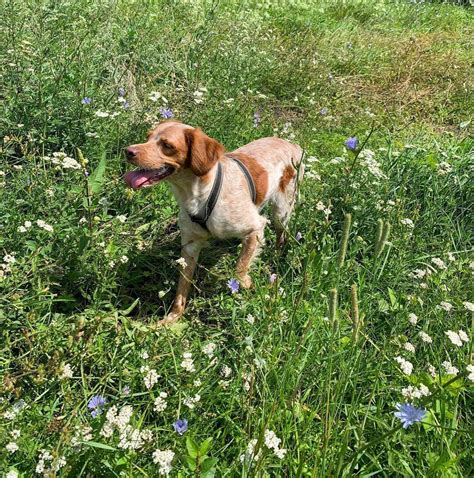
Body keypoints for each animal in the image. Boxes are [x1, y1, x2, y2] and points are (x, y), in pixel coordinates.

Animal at [125, 121, 304, 326]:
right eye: (147, 137)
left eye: (167, 145)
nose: (128, 151)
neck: (198, 193)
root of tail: (291, 144)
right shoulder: (190, 246)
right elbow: (181, 289)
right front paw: (172, 318)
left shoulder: (256, 227)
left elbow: (239, 270)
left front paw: (248, 285)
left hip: (281, 211)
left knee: (281, 235)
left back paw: (276, 256)